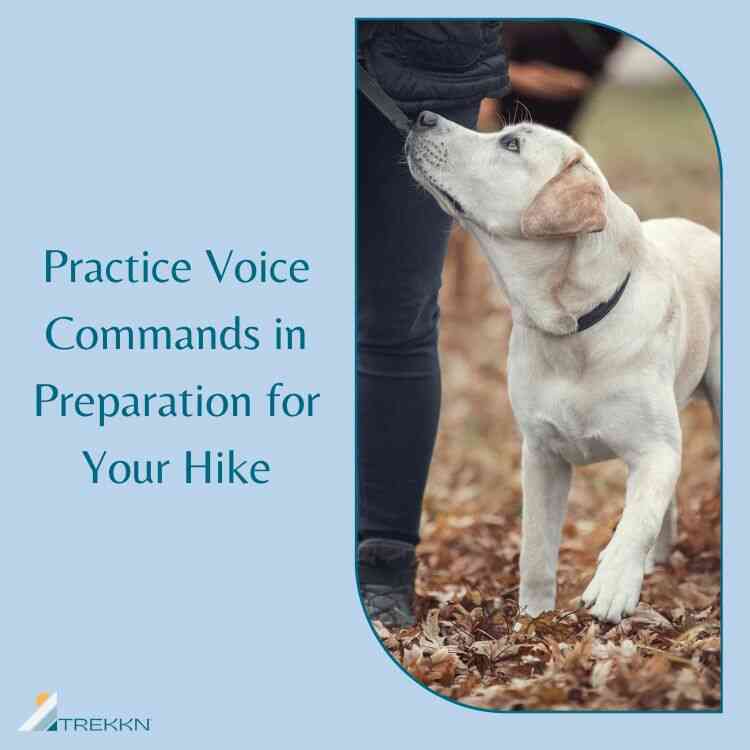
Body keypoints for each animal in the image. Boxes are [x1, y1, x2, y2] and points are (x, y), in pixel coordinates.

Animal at [408, 111, 720, 624]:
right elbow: (536, 547)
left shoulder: (655, 449)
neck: (573, 329)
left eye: (511, 144)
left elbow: (638, 517)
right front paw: (532, 619)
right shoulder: (541, 454)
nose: (423, 116)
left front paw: (612, 586)